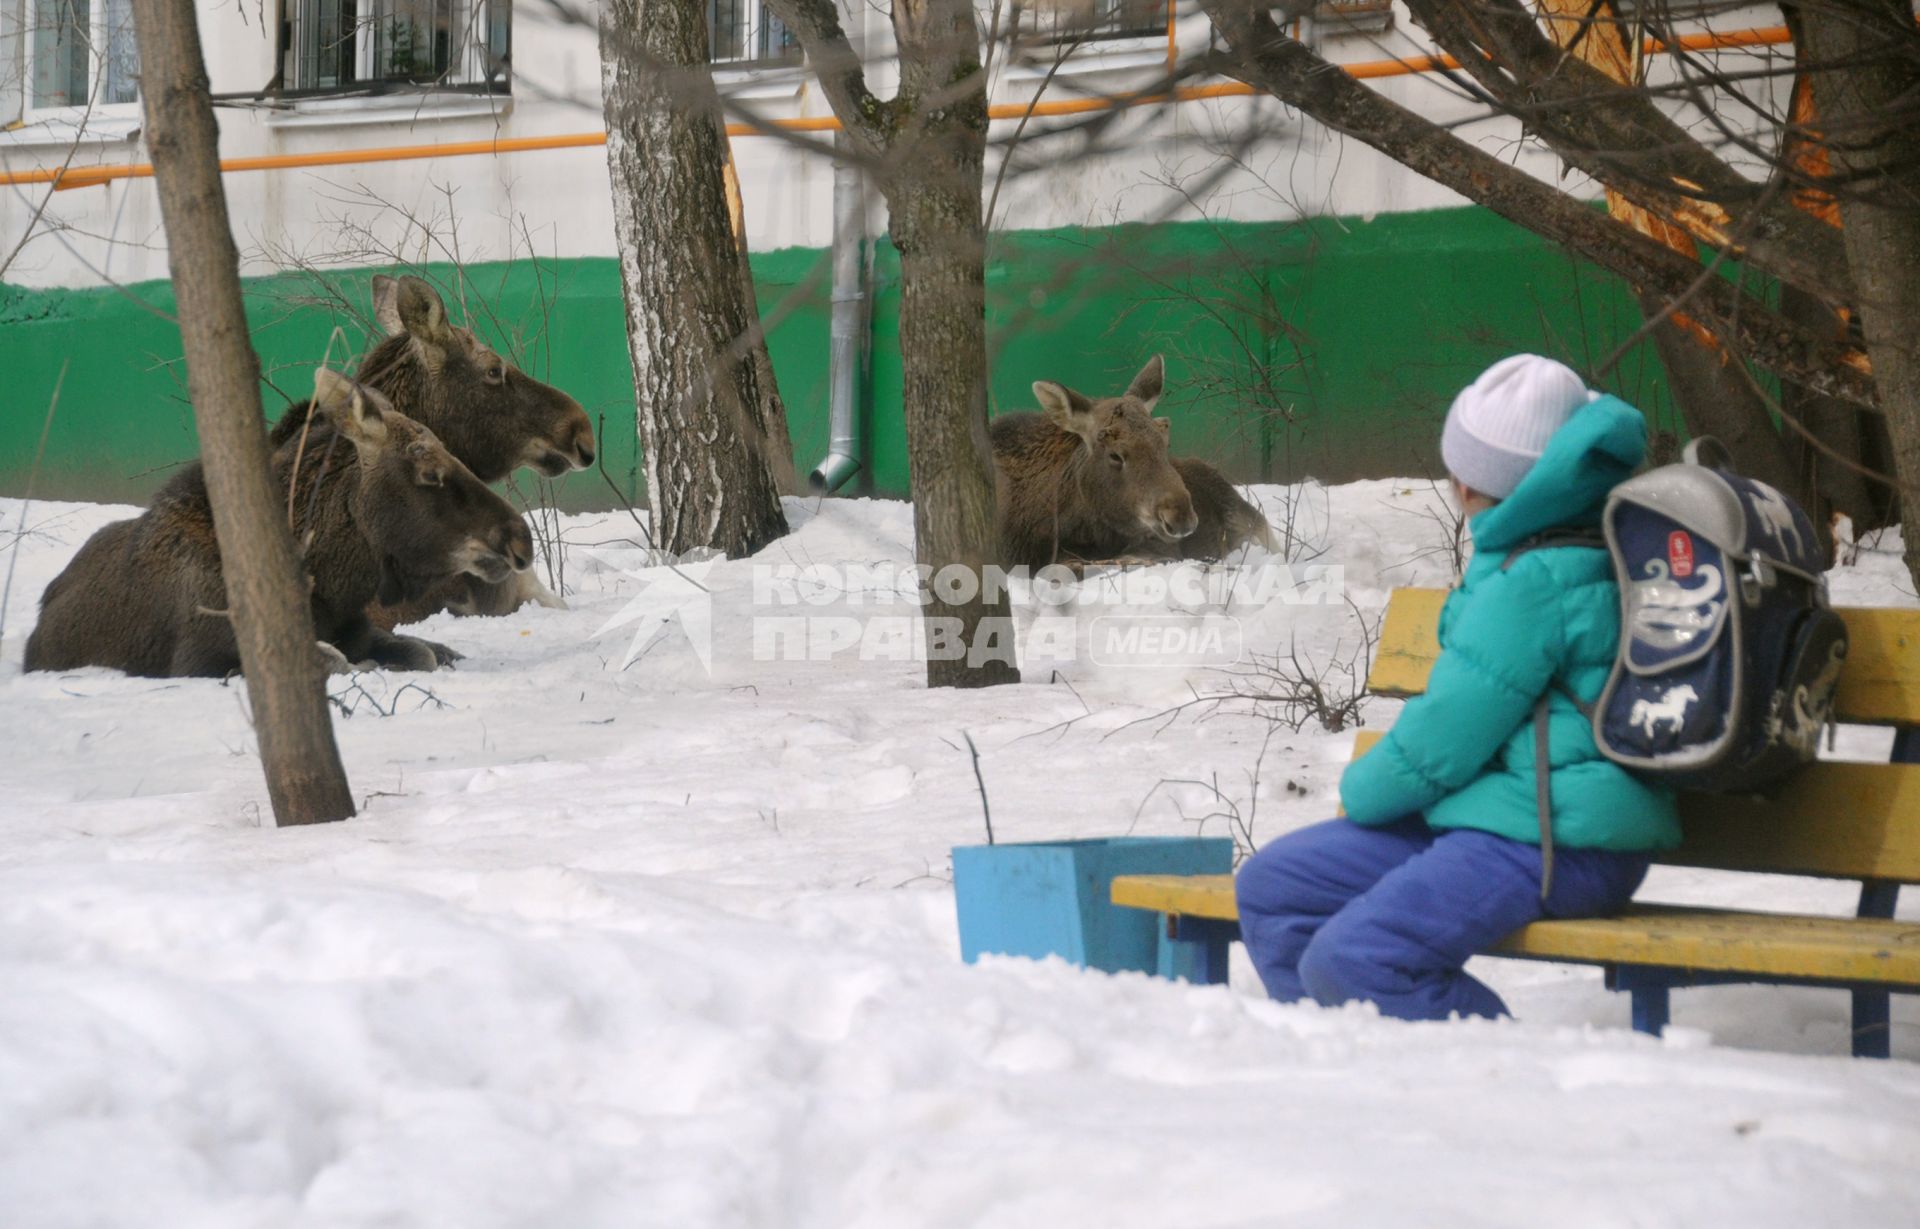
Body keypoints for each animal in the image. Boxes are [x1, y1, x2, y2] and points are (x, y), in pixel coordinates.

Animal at [28, 368, 541, 675]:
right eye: (430, 472)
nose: (520, 539)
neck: (327, 583)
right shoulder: (202, 661)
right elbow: (339, 661)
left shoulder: (360, 628)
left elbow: (421, 652)